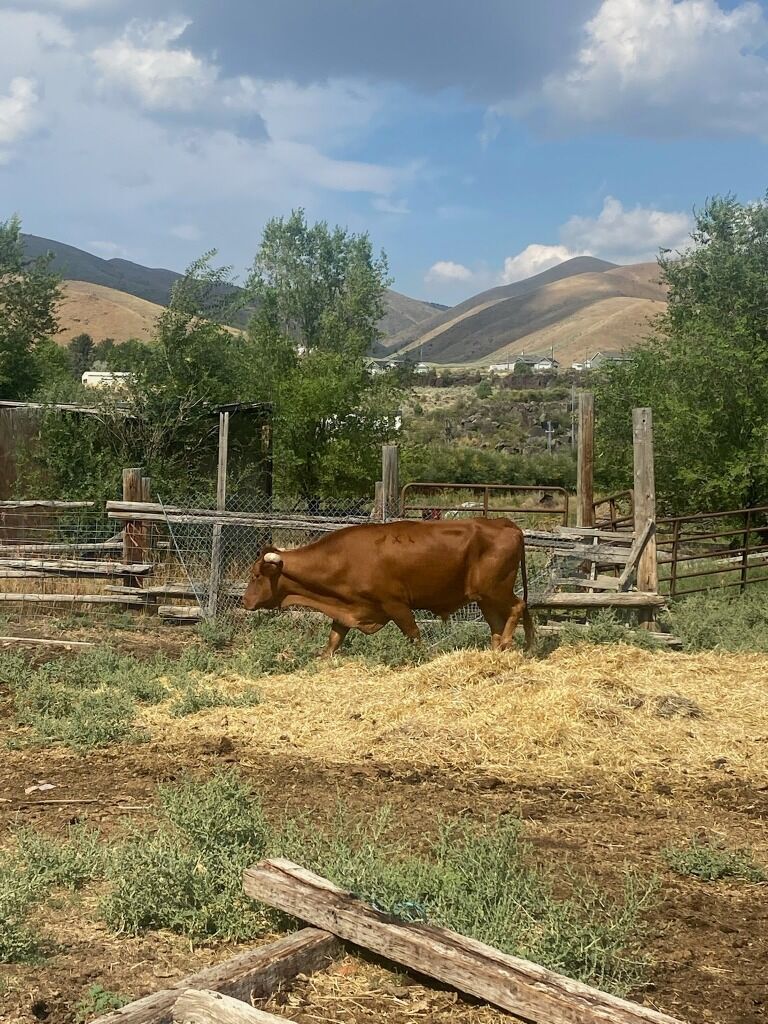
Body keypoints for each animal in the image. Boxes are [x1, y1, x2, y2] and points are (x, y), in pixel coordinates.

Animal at [242, 517, 534, 656]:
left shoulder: (396, 605)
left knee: (518, 607)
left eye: (256, 575)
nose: (244, 601)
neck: (342, 558)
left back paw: (508, 642)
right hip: (485, 598)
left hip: (496, 591)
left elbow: (414, 636)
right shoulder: (348, 610)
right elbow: (333, 642)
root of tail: (503, 523)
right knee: (503, 621)